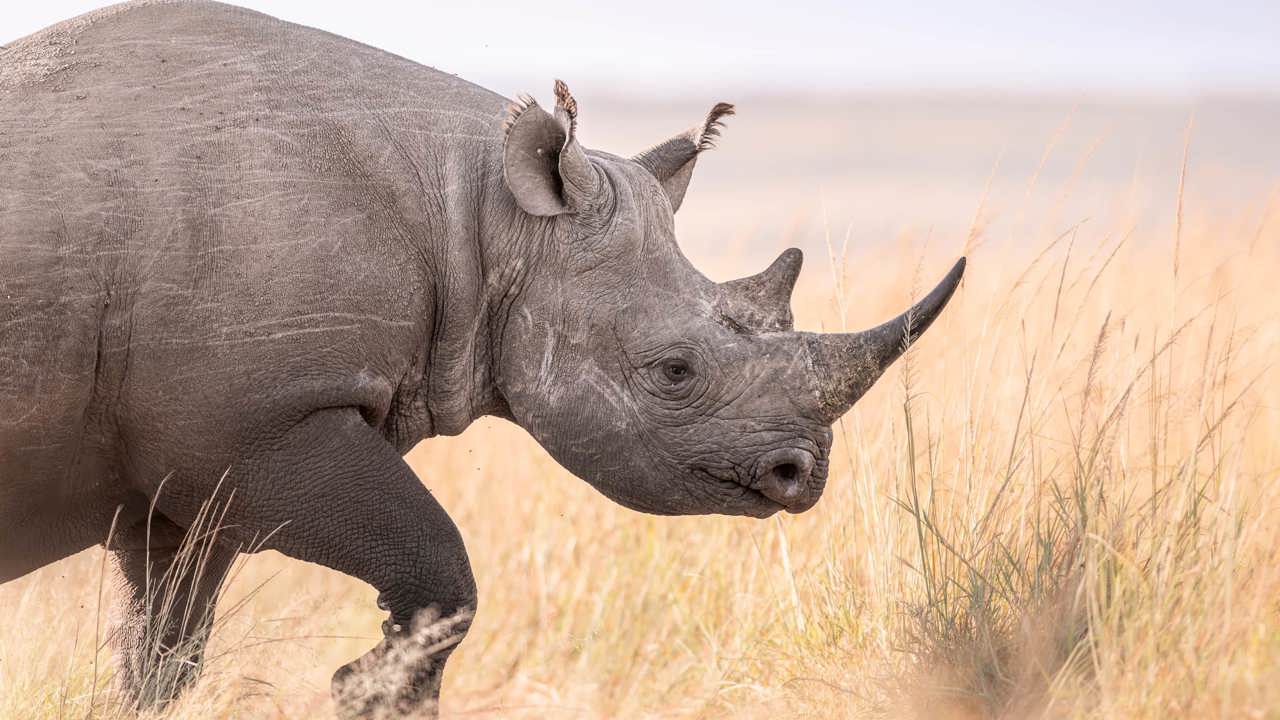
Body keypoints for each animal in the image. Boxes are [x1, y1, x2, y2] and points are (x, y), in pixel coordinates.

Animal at [0, 1, 964, 716]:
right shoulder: (252, 427)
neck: (485, 217)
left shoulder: (184, 481)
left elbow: (161, 655)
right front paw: (367, 691)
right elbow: (441, 570)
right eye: (674, 372)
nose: (804, 476)